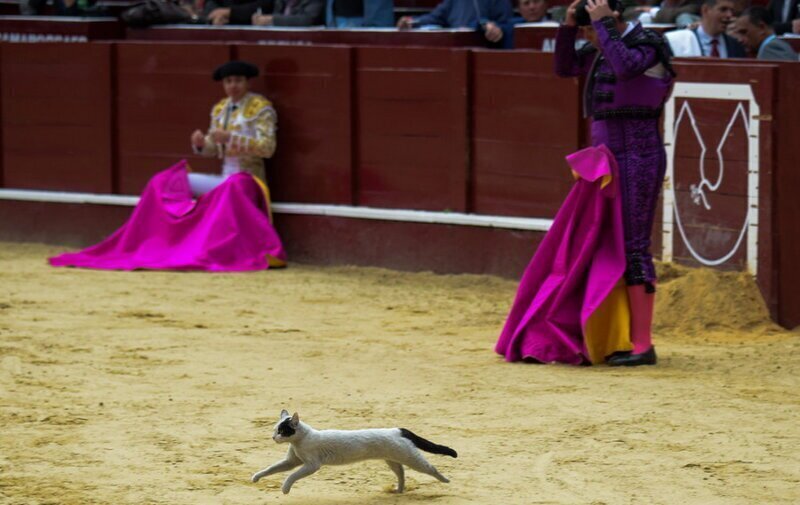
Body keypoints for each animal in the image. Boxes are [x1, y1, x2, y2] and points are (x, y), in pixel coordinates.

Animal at [253, 410, 460, 492]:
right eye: (275, 430)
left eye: (282, 431)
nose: (273, 437)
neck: (299, 442)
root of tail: (398, 429)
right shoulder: (291, 461)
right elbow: (270, 469)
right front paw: (255, 477)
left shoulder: (311, 465)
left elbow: (291, 476)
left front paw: (285, 489)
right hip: (392, 460)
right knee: (401, 473)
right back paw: (398, 491)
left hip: (412, 459)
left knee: (431, 468)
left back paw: (445, 480)